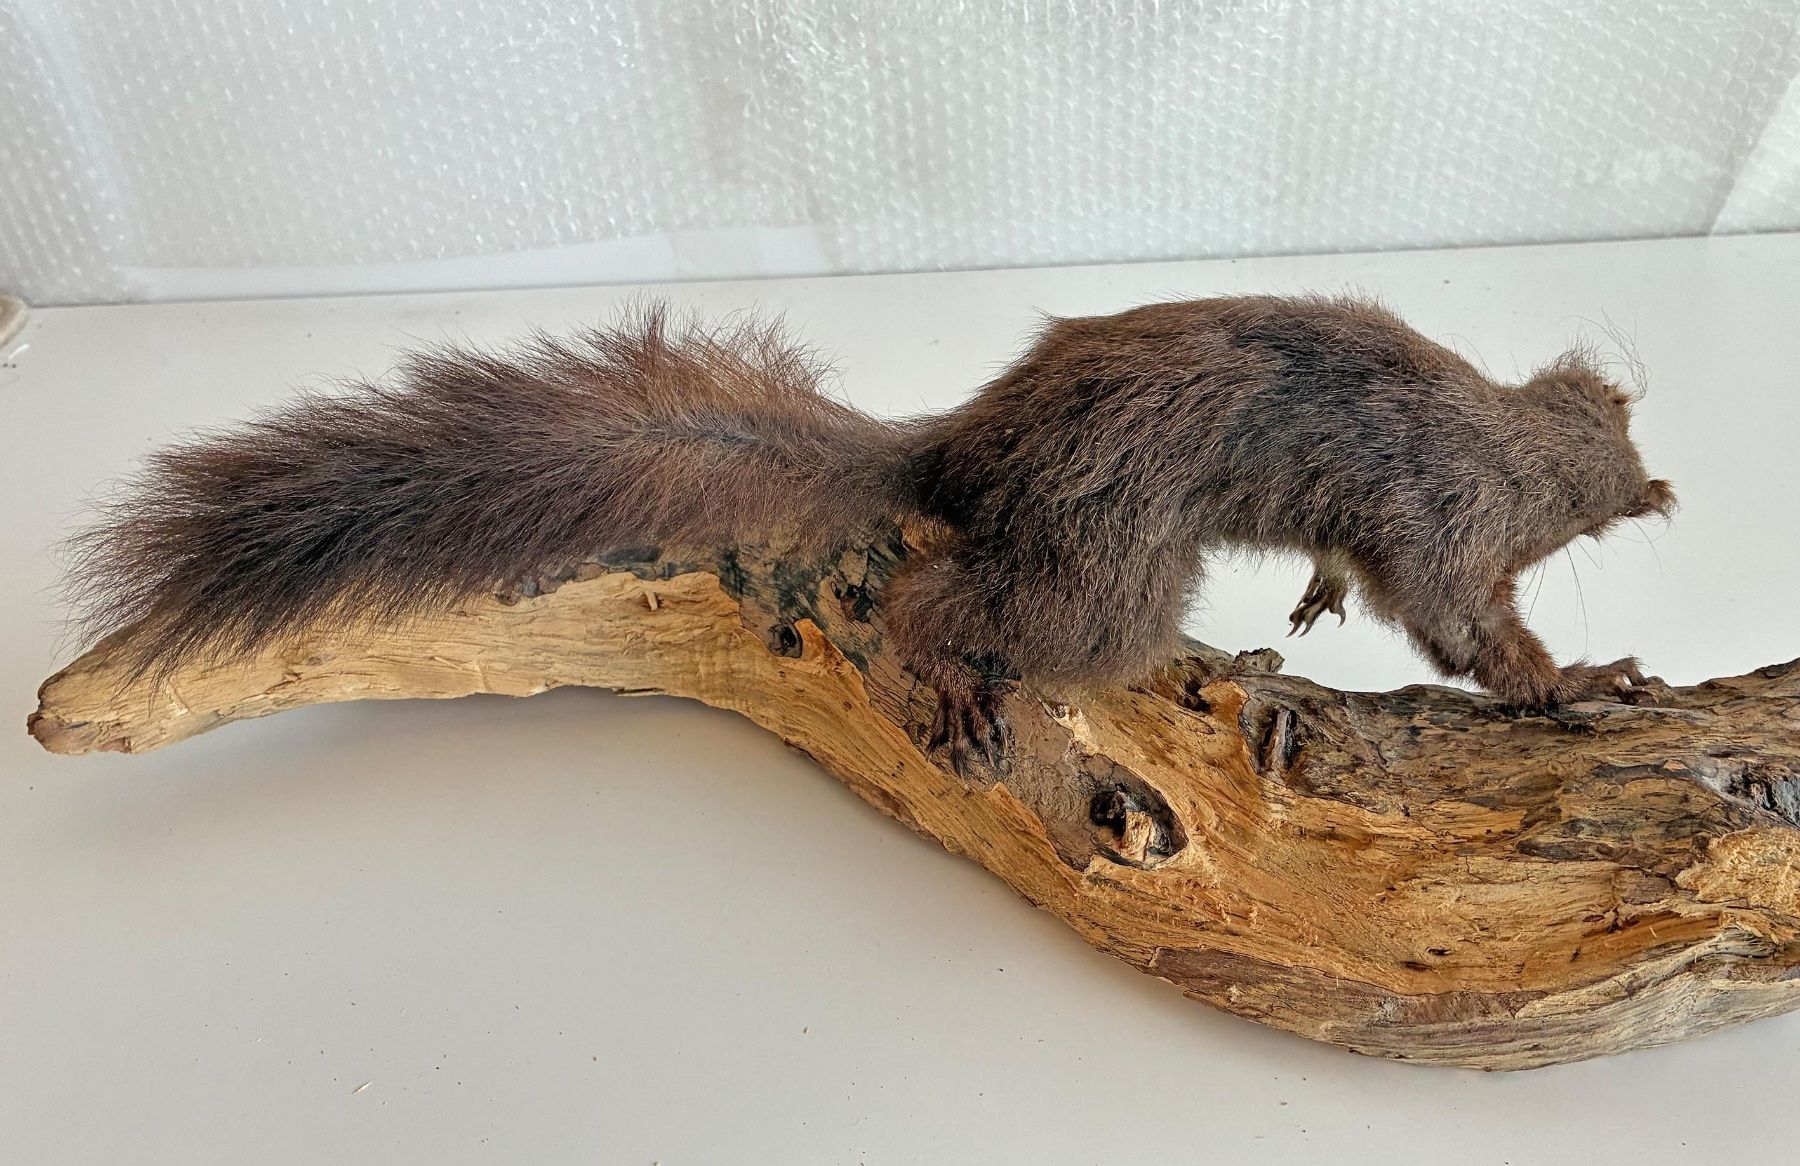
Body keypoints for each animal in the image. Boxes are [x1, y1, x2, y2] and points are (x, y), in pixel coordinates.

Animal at [69, 295, 1674, 771]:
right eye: (1612, 469)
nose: (1666, 489)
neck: (1495, 429)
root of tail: (967, 443)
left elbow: (1360, 575)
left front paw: (1317, 610)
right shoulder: (1446, 522)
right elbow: (1469, 628)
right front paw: (1586, 681)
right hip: (1113, 565)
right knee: (954, 611)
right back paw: (959, 678)